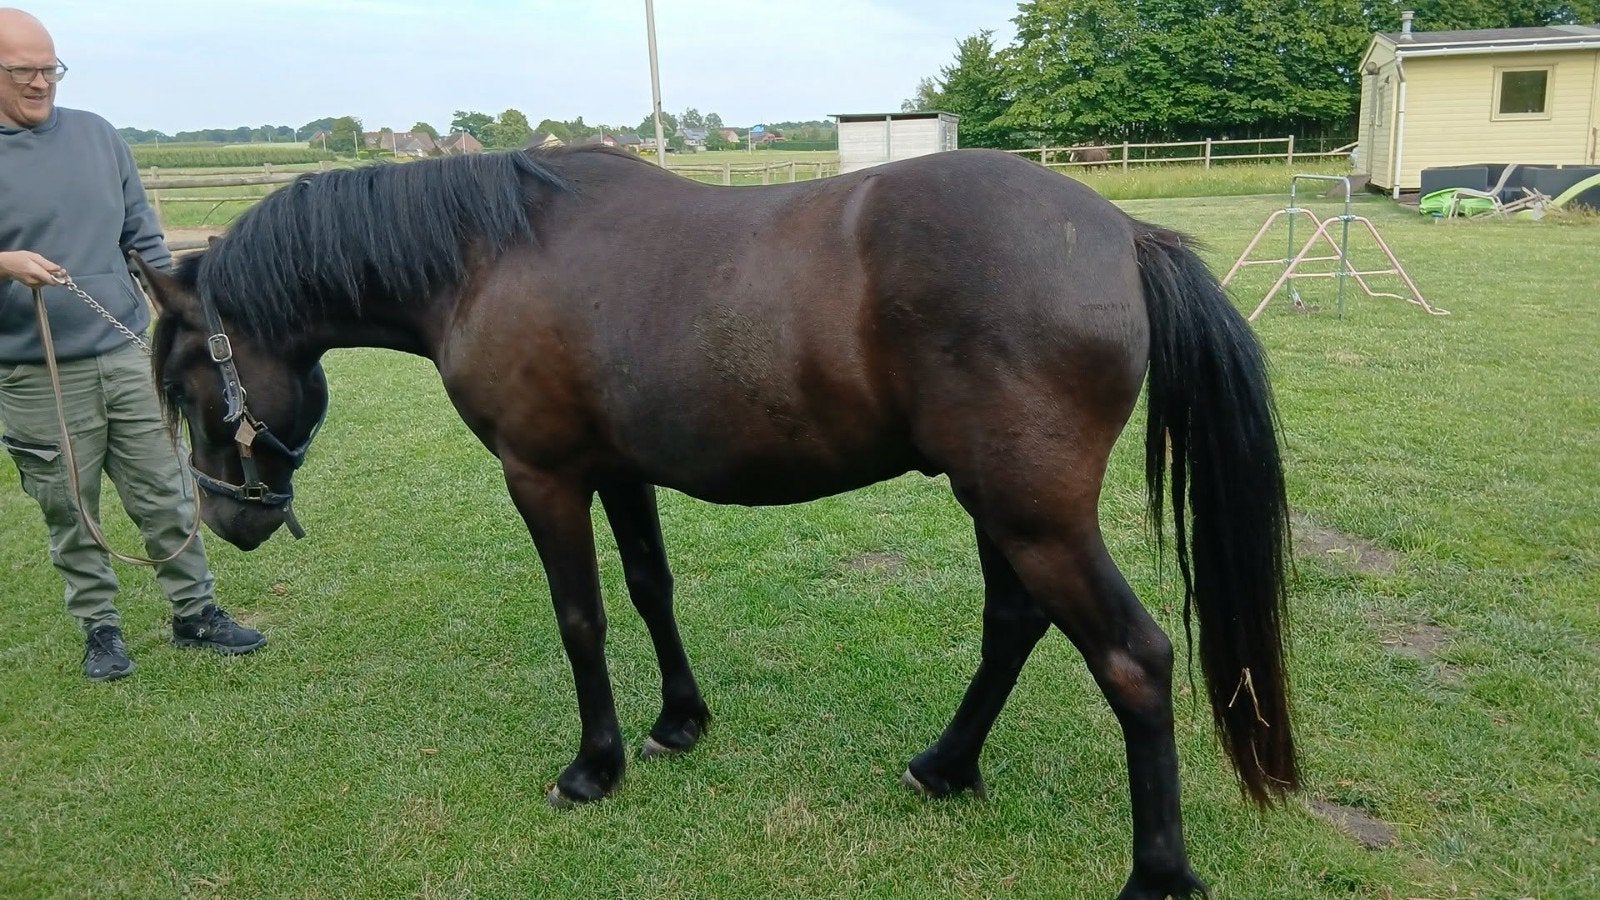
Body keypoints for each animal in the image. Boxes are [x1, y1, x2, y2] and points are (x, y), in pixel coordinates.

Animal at [139, 145, 1294, 900]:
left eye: (189, 377)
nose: (227, 521)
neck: (488, 257)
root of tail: (1119, 233)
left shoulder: (542, 477)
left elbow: (582, 620)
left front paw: (592, 767)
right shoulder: (616, 471)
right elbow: (651, 590)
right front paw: (679, 723)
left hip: (1032, 516)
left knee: (1134, 660)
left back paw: (1157, 876)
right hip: (1003, 510)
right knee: (1014, 626)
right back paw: (944, 765)